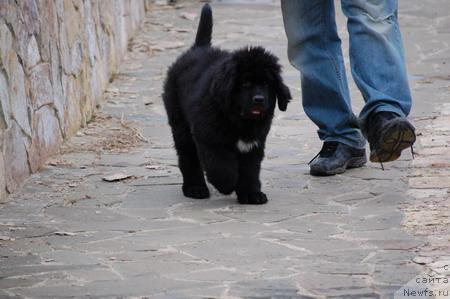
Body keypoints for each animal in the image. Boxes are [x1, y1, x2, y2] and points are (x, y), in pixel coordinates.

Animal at [163, 3, 292, 205]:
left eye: (266, 84)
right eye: (245, 83)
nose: (259, 99)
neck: (239, 120)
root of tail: (198, 48)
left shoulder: (254, 146)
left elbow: (250, 171)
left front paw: (251, 194)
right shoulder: (211, 140)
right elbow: (222, 168)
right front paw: (227, 185)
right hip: (180, 125)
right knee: (188, 157)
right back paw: (195, 188)